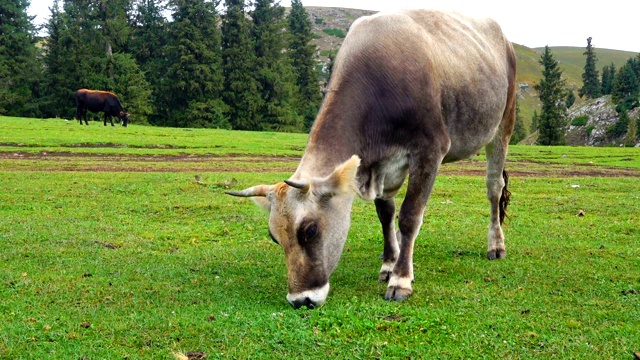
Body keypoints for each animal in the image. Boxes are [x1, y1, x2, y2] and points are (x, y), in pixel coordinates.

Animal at [228, 10, 516, 310]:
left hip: (503, 123)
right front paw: (390, 263)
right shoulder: (383, 165)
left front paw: (401, 279)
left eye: (310, 230)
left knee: (494, 187)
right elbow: (386, 213)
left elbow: (410, 215)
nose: (300, 299)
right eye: (274, 237)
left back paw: (496, 245)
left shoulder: (430, 149)